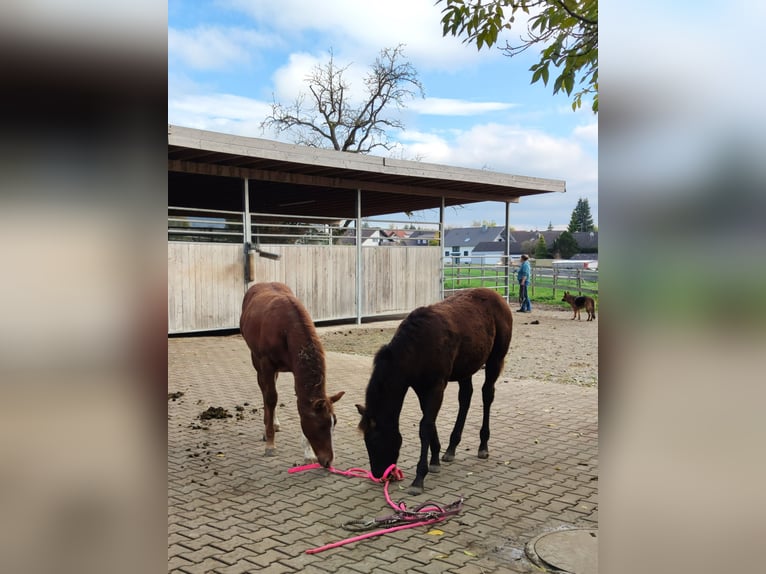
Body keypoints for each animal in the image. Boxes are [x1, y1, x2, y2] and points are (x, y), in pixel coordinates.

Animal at [243, 282, 344, 468]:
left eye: (334, 422)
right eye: (320, 426)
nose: (328, 461)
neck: (286, 329)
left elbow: (300, 404)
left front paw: (308, 454)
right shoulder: (266, 363)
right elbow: (270, 398)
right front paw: (270, 444)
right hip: (257, 360)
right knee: (265, 391)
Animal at [356, 290, 512, 498]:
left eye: (375, 440)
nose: (379, 474)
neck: (416, 348)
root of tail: (497, 296)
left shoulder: (436, 386)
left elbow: (425, 427)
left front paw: (419, 478)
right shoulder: (421, 388)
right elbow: (430, 422)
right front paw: (436, 459)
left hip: (495, 360)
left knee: (487, 395)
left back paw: (483, 446)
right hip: (466, 368)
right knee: (465, 398)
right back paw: (451, 448)